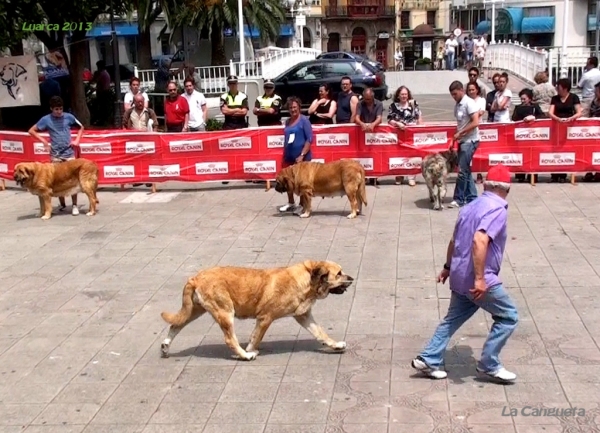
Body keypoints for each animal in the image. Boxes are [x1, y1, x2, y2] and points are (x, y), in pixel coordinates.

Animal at [162, 260, 354, 358]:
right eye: (339, 273)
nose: (352, 279)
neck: (307, 280)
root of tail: (195, 277)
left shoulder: (303, 316)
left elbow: (321, 333)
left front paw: (335, 345)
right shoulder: (265, 317)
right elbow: (257, 337)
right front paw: (250, 350)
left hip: (193, 311)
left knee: (175, 325)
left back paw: (165, 346)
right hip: (225, 313)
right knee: (230, 340)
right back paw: (244, 355)